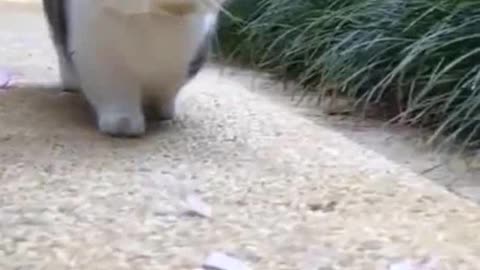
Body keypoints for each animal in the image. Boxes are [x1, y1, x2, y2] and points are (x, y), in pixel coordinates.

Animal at [41, 0, 223, 137]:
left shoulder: (185, 65)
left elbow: (167, 92)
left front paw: (165, 113)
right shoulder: (101, 61)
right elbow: (117, 95)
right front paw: (124, 126)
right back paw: (71, 85)